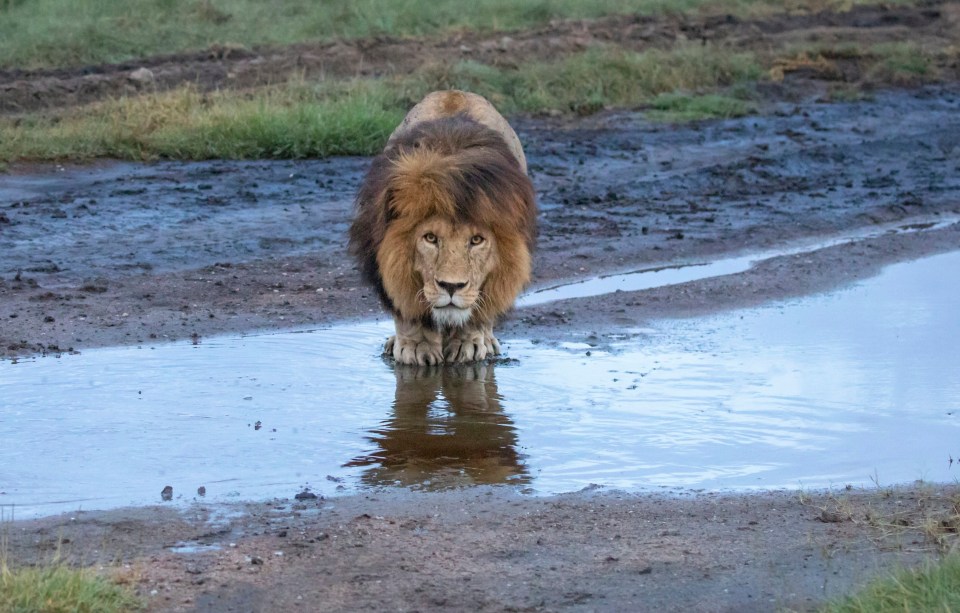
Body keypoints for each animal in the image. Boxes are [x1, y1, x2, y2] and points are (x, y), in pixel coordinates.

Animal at [348, 91, 536, 364]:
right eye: (430, 238)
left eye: (476, 240)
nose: (451, 287)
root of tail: (455, 91)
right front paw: (416, 346)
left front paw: (468, 343)